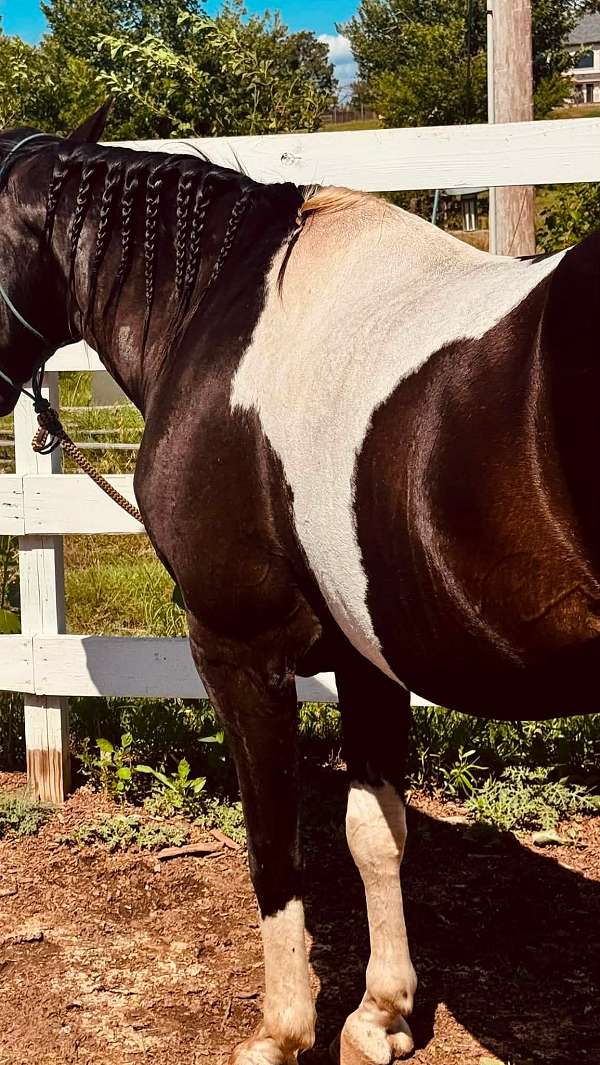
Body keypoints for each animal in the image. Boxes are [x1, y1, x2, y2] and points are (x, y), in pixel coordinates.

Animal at [0, 103, 597, 1065]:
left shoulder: (236, 649)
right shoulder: (368, 655)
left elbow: (274, 842)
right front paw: (379, 1015)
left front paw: (282, 1031)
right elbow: (375, 831)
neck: (217, 315)